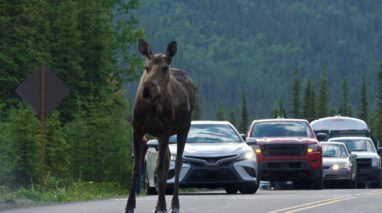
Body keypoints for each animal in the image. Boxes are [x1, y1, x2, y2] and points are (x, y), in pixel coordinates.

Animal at [124, 38, 197, 213]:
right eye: (146, 67)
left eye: (164, 68)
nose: (147, 89)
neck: (153, 106)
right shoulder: (137, 129)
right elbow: (136, 167)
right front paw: (129, 205)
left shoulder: (164, 131)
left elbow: (161, 169)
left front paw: (163, 206)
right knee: (167, 159)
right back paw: (157, 205)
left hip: (183, 129)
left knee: (177, 163)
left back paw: (174, 204)